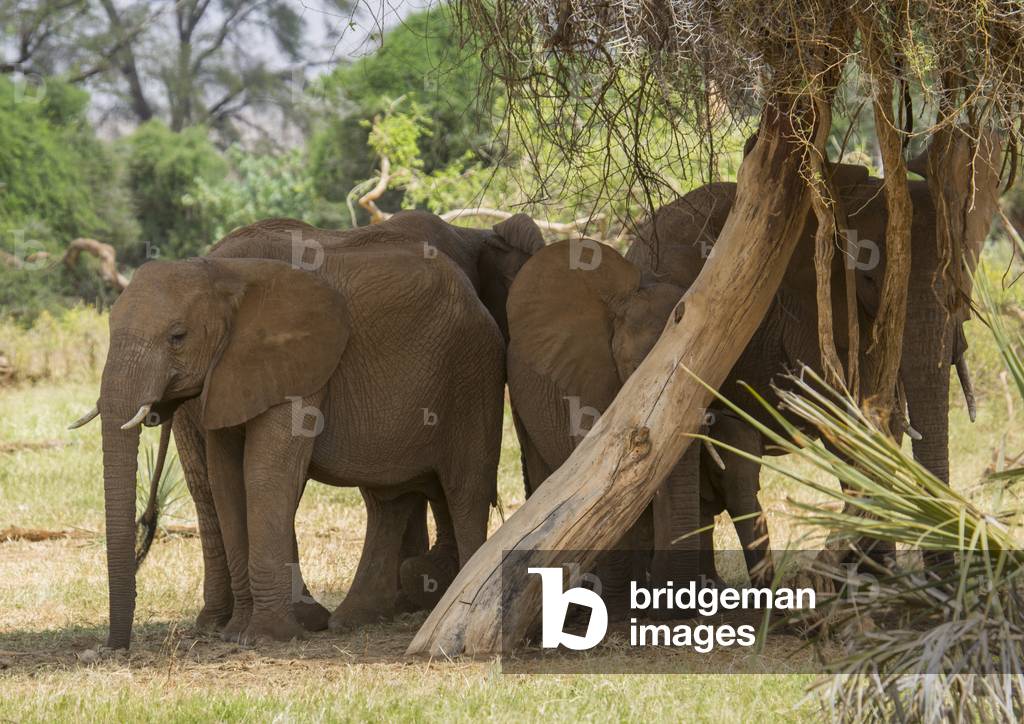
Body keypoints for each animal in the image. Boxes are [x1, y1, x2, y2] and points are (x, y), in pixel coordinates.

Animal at [83, 236, 508, 649]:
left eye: (177, 337)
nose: (115, 647)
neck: (225, 275)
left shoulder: (298, 370)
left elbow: (263, 474)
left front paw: (264, 638)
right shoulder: (227, 376)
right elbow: (225, 481)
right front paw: (235, 633)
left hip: (473, 372)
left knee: (465, 489)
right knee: (388, 499)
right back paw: (352, 620)